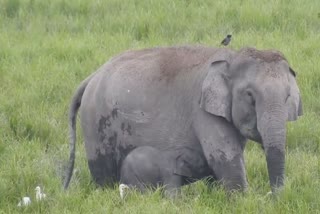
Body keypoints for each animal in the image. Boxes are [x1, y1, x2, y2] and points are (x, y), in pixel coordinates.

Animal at [63, 45, 302, 194]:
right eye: (250, 96)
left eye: (287, 97)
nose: (273, 198)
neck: (232, 57)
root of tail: (91, 76)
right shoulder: (202, 111)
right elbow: (224, 158)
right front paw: (241, 202)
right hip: (95, 123)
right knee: (103, 174)